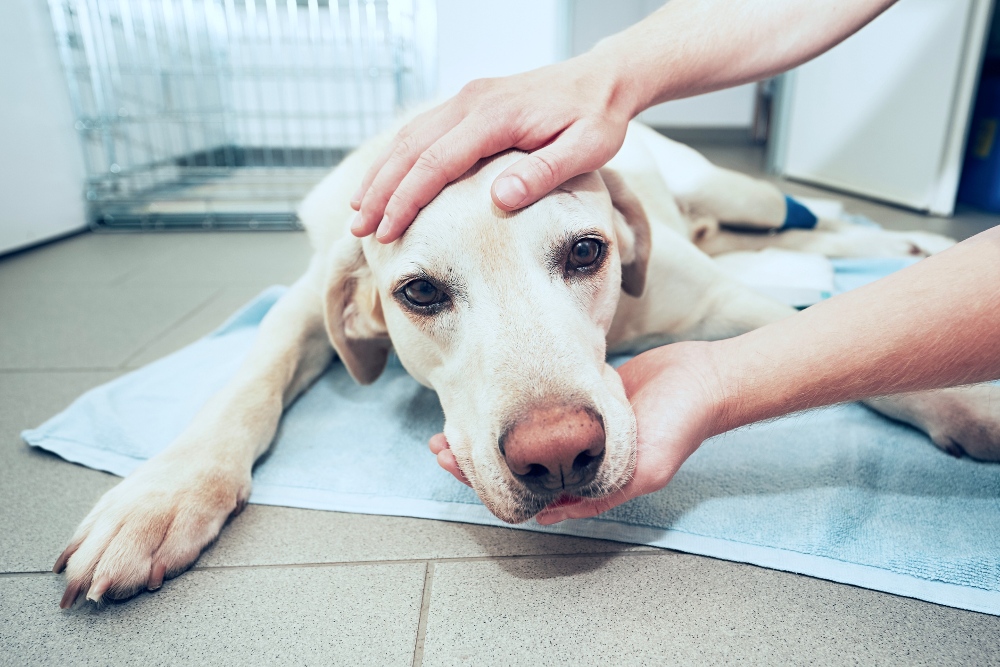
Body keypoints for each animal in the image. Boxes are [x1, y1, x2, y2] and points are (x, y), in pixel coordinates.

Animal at [56, 122, 1000, 608]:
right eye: (420, 292)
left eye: (586, 251)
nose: (558, 454)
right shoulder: (305, 297)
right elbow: (247, 378)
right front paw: (161, 496)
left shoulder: (724, 302)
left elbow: (860, 341)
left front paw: (968, 399)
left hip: (742, 193)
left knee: (809, 220)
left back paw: (905, 241)